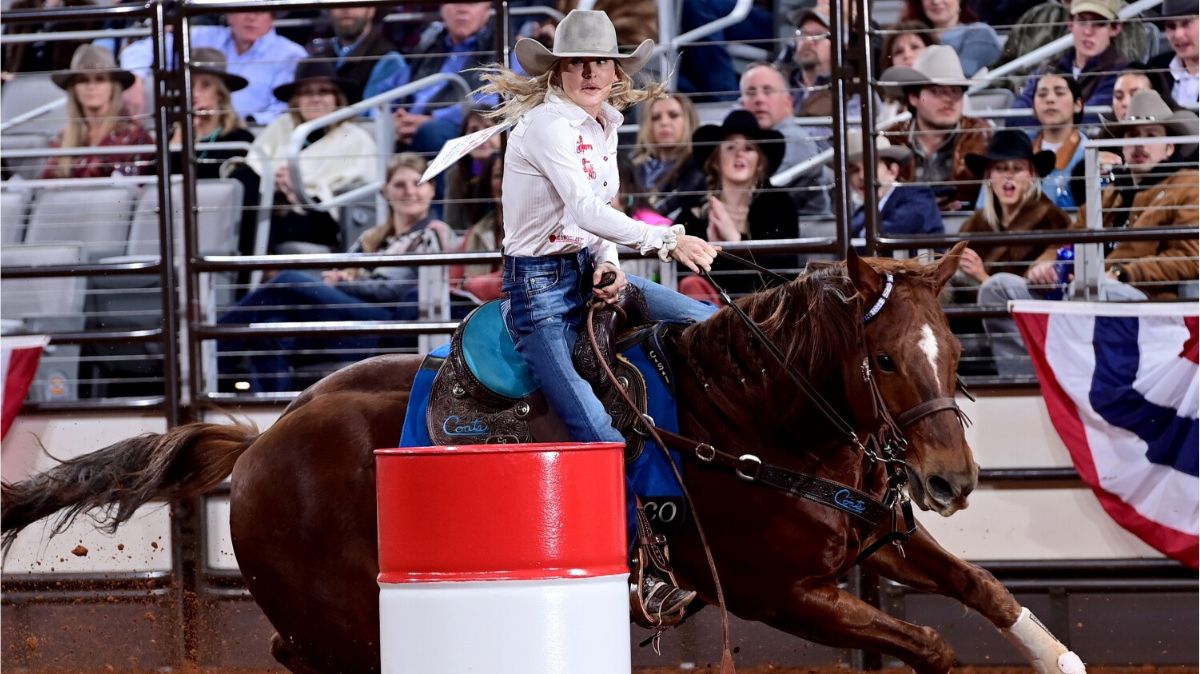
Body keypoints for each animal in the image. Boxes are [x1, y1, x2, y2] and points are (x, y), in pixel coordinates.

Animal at [0, 243, 1084, 666]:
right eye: (886, 357)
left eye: (954, 349)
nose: (950, 479)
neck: (757, 419)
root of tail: (262, 442)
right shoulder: (783, 593)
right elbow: (932, 639)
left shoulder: (873, 541)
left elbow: (985, 591)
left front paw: (1061, 656)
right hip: (342, 614)